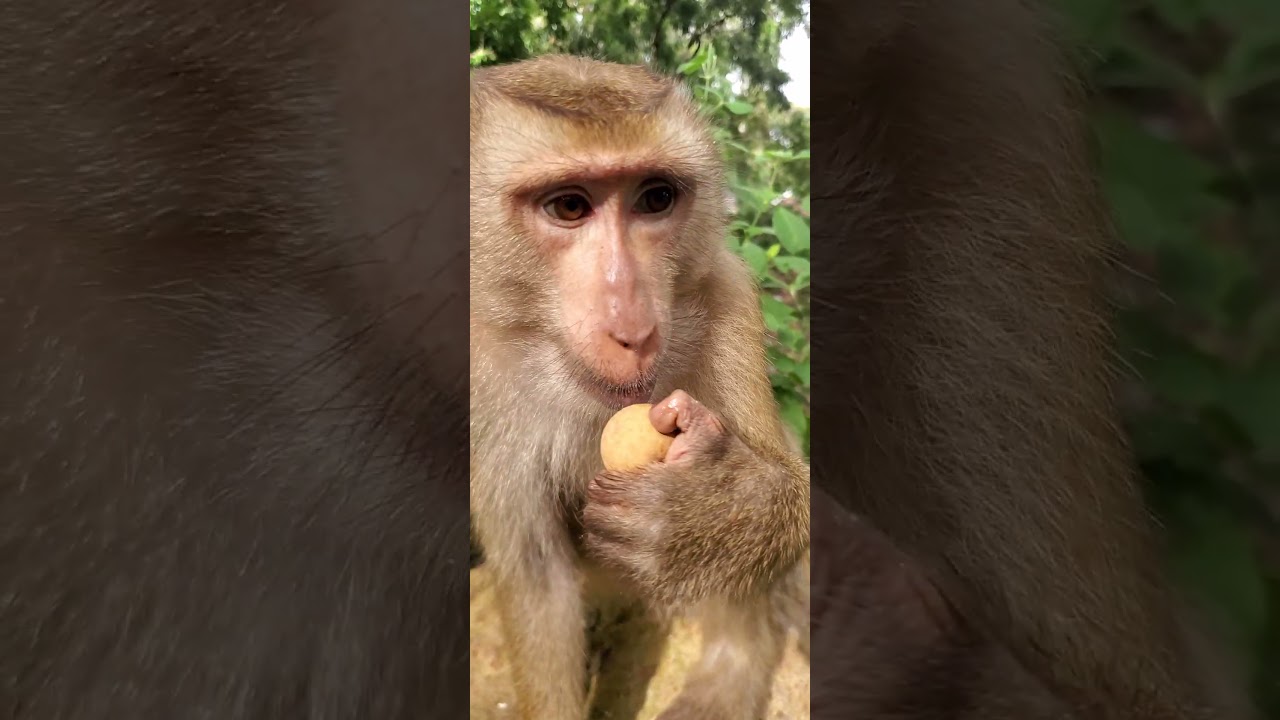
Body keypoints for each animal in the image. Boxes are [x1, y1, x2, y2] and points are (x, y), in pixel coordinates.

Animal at [469, 55, 810, 720]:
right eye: (568, 207)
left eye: (656, 199)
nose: (635, 329)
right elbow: (537, 579)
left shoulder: (728, 295)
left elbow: (795, 498)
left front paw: (707, 509)